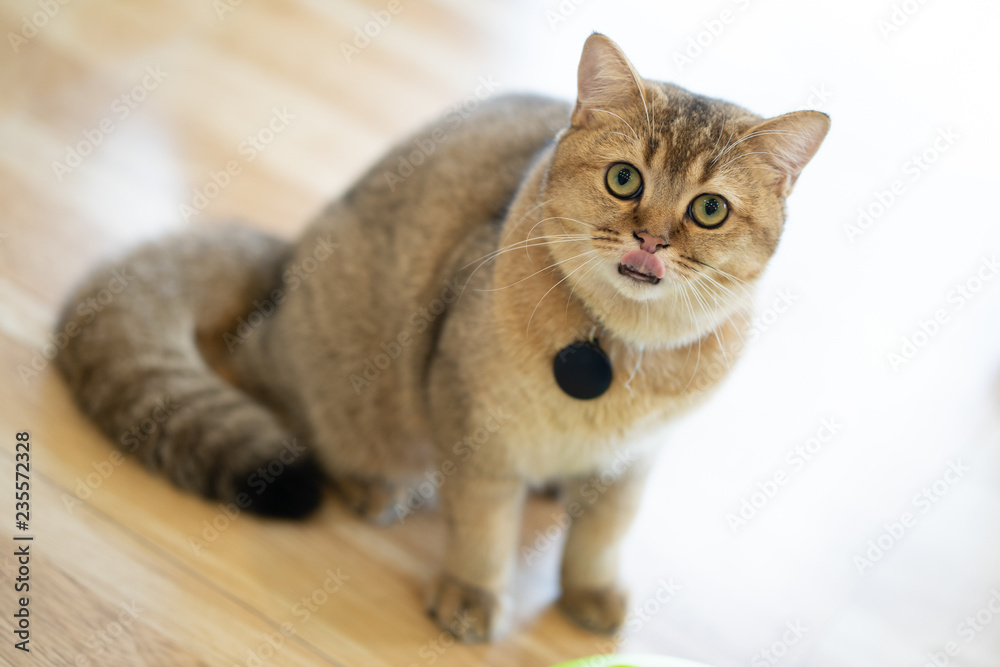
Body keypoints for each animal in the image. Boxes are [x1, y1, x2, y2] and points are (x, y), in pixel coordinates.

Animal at [58, 34, 832, 640]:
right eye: (623, 179)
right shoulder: (475, 426)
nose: (650, 238)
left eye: (709, 210)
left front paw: (588, 593)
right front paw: (472, 596)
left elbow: (601, 535)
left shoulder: (633, 461)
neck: (617, 354)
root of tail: (289, 256)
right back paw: (372, 484)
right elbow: (483, 529)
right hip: (356, 385)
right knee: (283, 390)